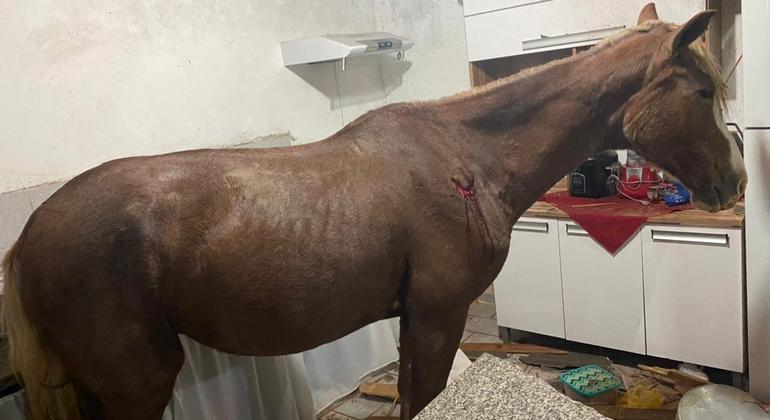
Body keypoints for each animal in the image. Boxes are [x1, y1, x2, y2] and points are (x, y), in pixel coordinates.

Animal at [1, 4, 746, 419]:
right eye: (701, 90)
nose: (736, 184)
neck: (467, 158)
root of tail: (28, 236)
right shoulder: (437, 317)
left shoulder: (417, 322)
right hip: (138, 384)